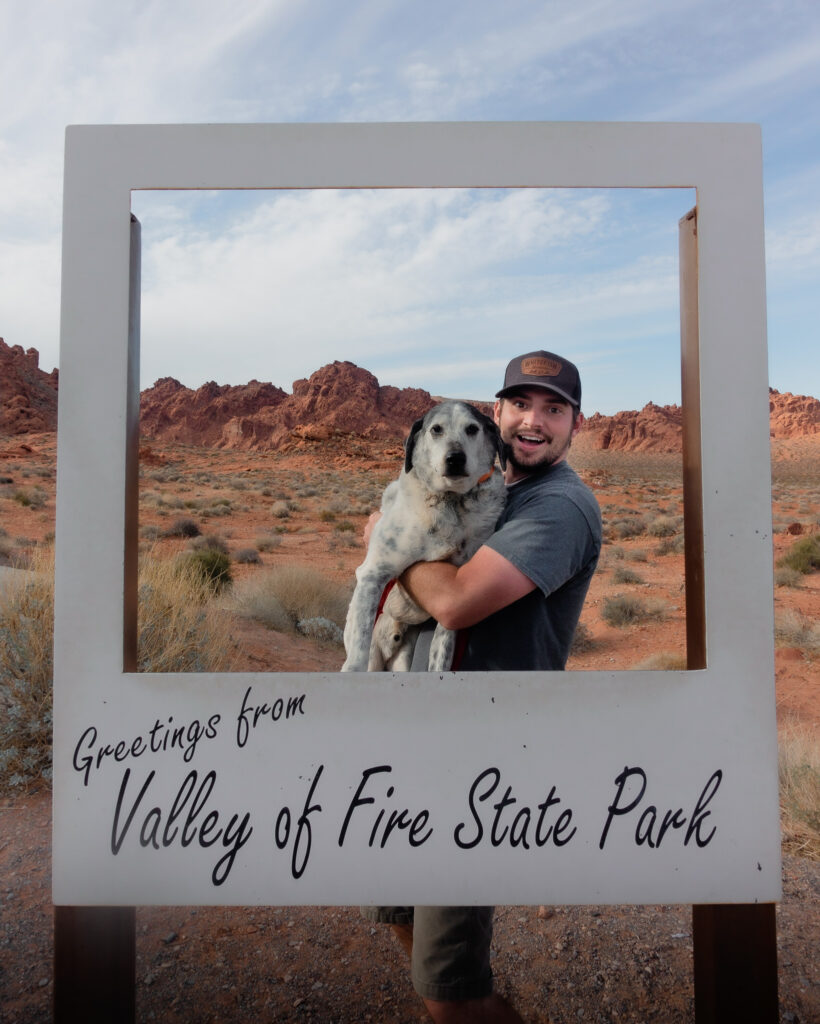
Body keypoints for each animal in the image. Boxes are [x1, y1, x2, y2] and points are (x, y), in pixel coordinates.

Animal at [339, 399, 505, 671]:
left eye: (472, 429)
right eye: (436, 429)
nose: (455, 459)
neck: (450, 503)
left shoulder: (453, 606)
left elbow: (441, 655)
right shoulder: (373, 574)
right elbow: (357, 650)